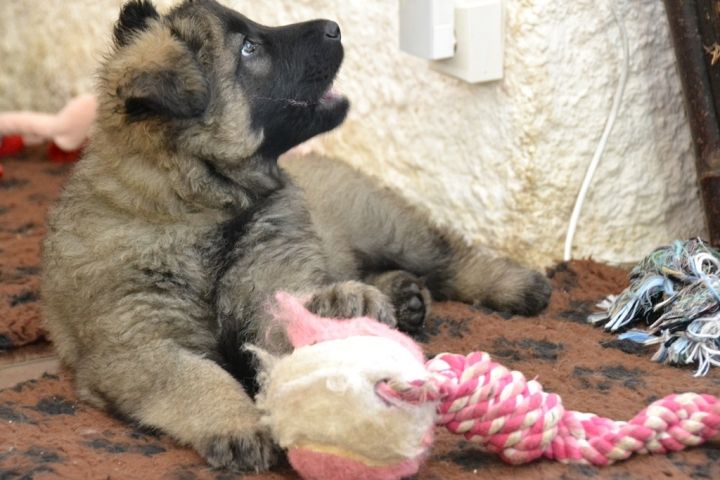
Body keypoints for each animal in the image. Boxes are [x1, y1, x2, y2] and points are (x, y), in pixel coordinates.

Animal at [42, 0, 552, 472]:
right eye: (248, 49)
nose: (335, 26)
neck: (206, 210)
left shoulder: (270, 288)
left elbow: (285, 322)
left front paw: (336, 310)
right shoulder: (139, 347)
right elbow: (196, 379)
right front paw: (237, 423)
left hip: (390, 227)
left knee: (449, 256)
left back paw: (513, 285)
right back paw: (399, 296)